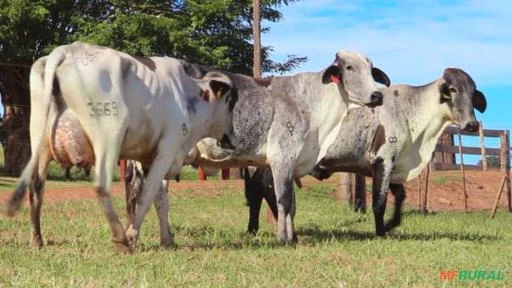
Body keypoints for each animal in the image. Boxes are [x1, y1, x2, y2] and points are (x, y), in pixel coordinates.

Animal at [126, 50, 390, 244]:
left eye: (371, 69)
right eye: (349, 68)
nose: (377, 96)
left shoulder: (289, 164)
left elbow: (292, 204)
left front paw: (292, 237)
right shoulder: (281, 157)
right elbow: (283, 200)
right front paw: (283, 239)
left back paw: (166, 240)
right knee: (149, 196)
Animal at [246, 67, 486, 236]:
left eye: (473, 93)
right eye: (453, 90)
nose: (472, 124)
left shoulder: (393, 165)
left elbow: (400, 196)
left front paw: (391, 224)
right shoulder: (383, 160)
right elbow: (379, 201)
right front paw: (380, 231)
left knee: (257, 191)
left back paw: (254, 229)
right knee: (267, 189)